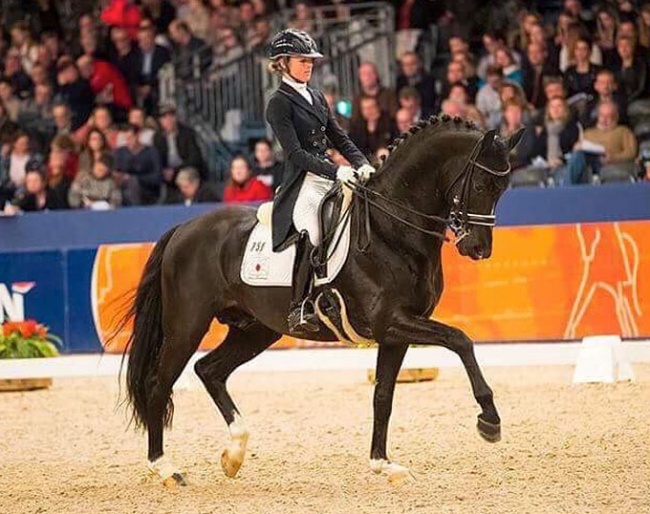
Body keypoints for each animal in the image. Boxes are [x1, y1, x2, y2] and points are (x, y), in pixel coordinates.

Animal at [123, 115, 520, 484]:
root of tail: (184, 229)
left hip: (255, 329)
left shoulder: (396, 333)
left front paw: (383, 463)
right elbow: (461, 340)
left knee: (210, 370)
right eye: (481, 184)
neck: (392, 228)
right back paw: (165, 468)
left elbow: (383, 396)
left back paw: (233, 454)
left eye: (503, 188)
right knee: (159, 384)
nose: (478, 249)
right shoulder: (392, 321)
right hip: (186, 326)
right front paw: (489, 419)